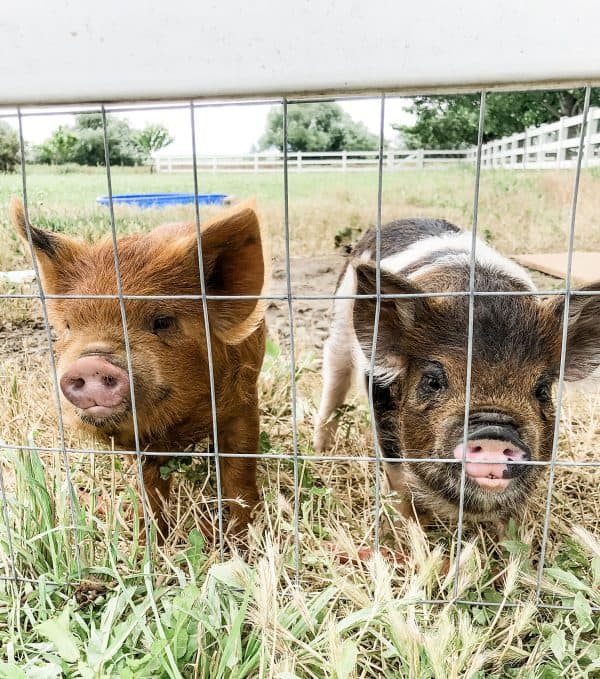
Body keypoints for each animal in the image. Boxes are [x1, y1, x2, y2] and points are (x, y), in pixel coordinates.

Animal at [8, 197, 268, 536]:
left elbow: (239, 469)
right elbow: (149, 486)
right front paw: (149, 535)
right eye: (69, 326)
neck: (181, 426)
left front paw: (240, 534)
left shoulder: (244, 401)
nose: (90, 363)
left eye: (163, 321)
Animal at [314, 218, 600, 532]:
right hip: (340, 323)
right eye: (433, 381)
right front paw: (411, 529)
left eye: (542, 390)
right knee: (334, 380)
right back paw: (321, 450)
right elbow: (399, 477)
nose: (494, 433)